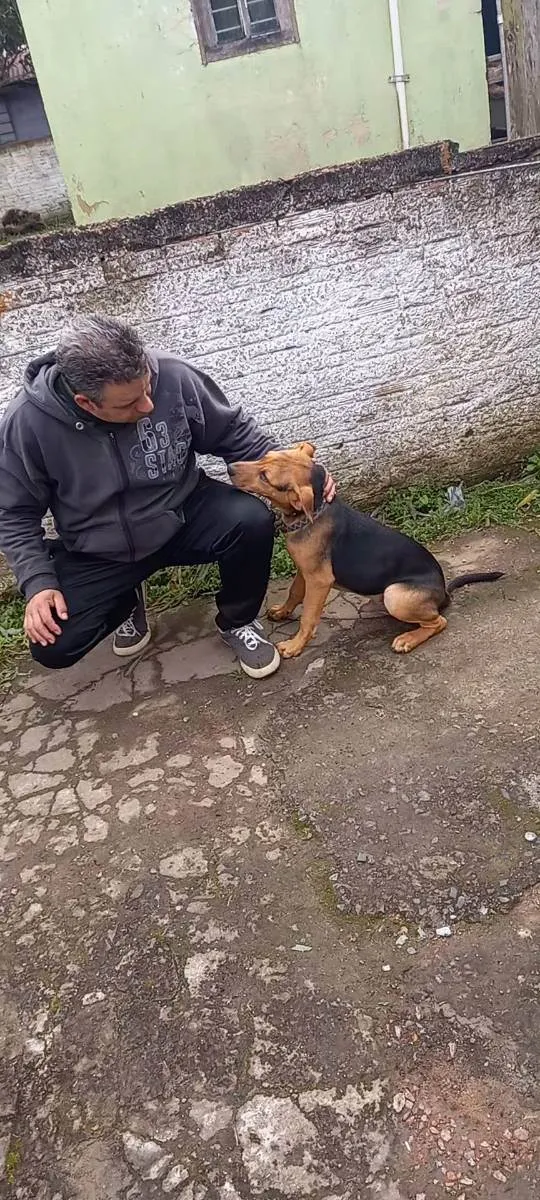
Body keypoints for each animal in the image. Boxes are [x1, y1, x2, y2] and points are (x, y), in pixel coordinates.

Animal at [228, 446, 501, 662]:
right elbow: (295, 593)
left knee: (438, 622)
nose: (229, 468)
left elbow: (308, 617)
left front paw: (295, 646)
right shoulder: (304, 571)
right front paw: (282, 612)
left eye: (265, 477)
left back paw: (407, 639)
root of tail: (442, 592)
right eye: (265, 456)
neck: (314, 511)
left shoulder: (319, 580)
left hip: (396, 595)